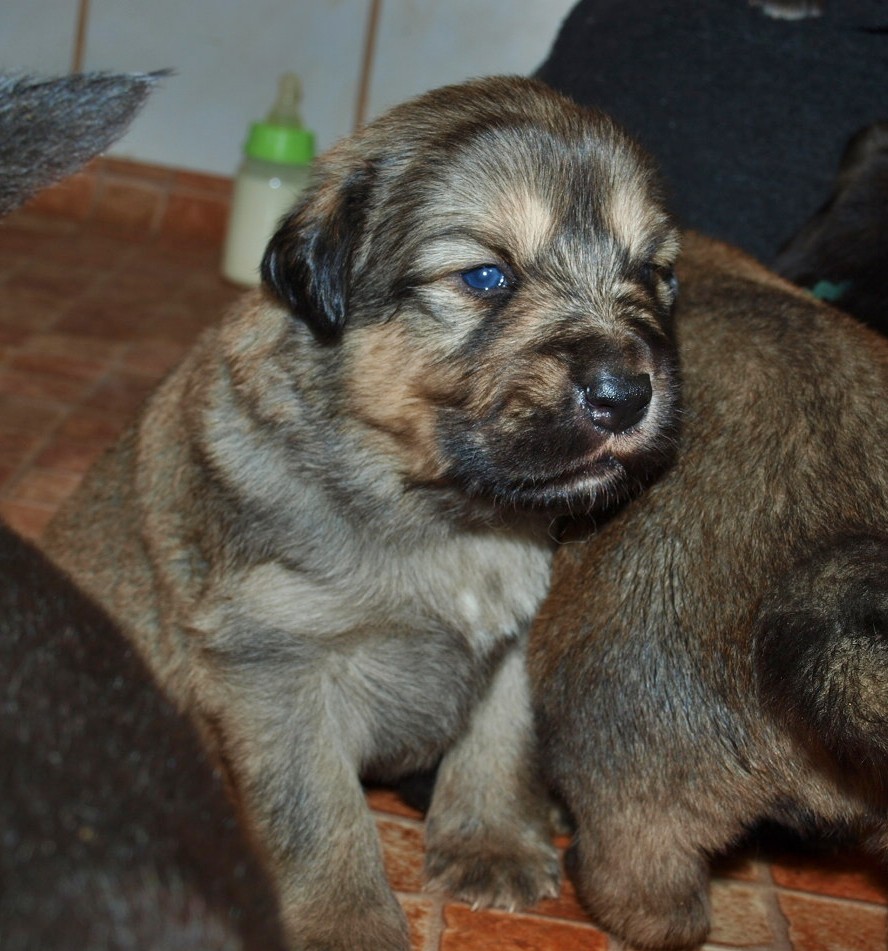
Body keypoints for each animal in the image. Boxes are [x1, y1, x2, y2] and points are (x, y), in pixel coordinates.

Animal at [43, 75, 682, 950]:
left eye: (652, 272)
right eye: (486, 278)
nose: (627, 393)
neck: (441, 511)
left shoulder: (518, 635)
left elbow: (500, 739)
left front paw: (490, 841)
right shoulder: (272, 660)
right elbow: (318, 808)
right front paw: (346, 918)